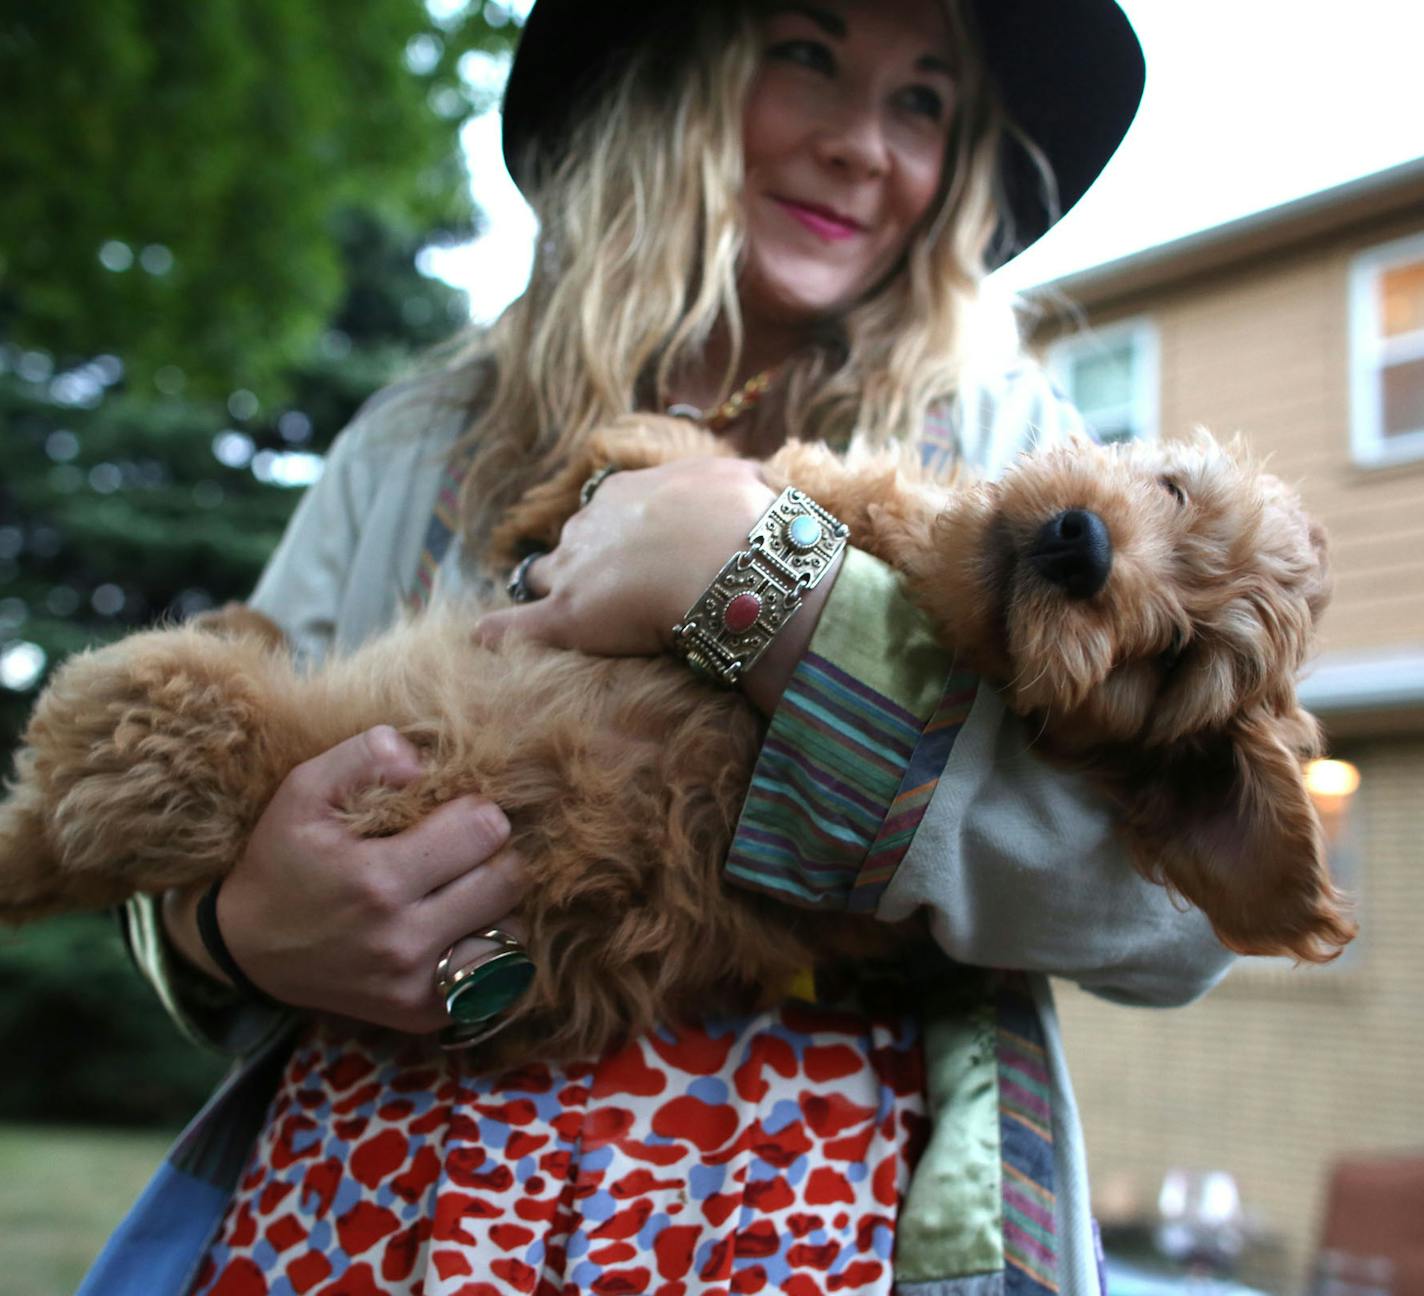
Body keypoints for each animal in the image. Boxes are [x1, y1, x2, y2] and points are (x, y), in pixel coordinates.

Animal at [0, 427, 1349, 1065]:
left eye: (1163, 662)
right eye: (1170, 491)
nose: (1079, 544)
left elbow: (731, 453)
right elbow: (695, 443)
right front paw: (571, 485)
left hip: (150, 706)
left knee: (51, 800)